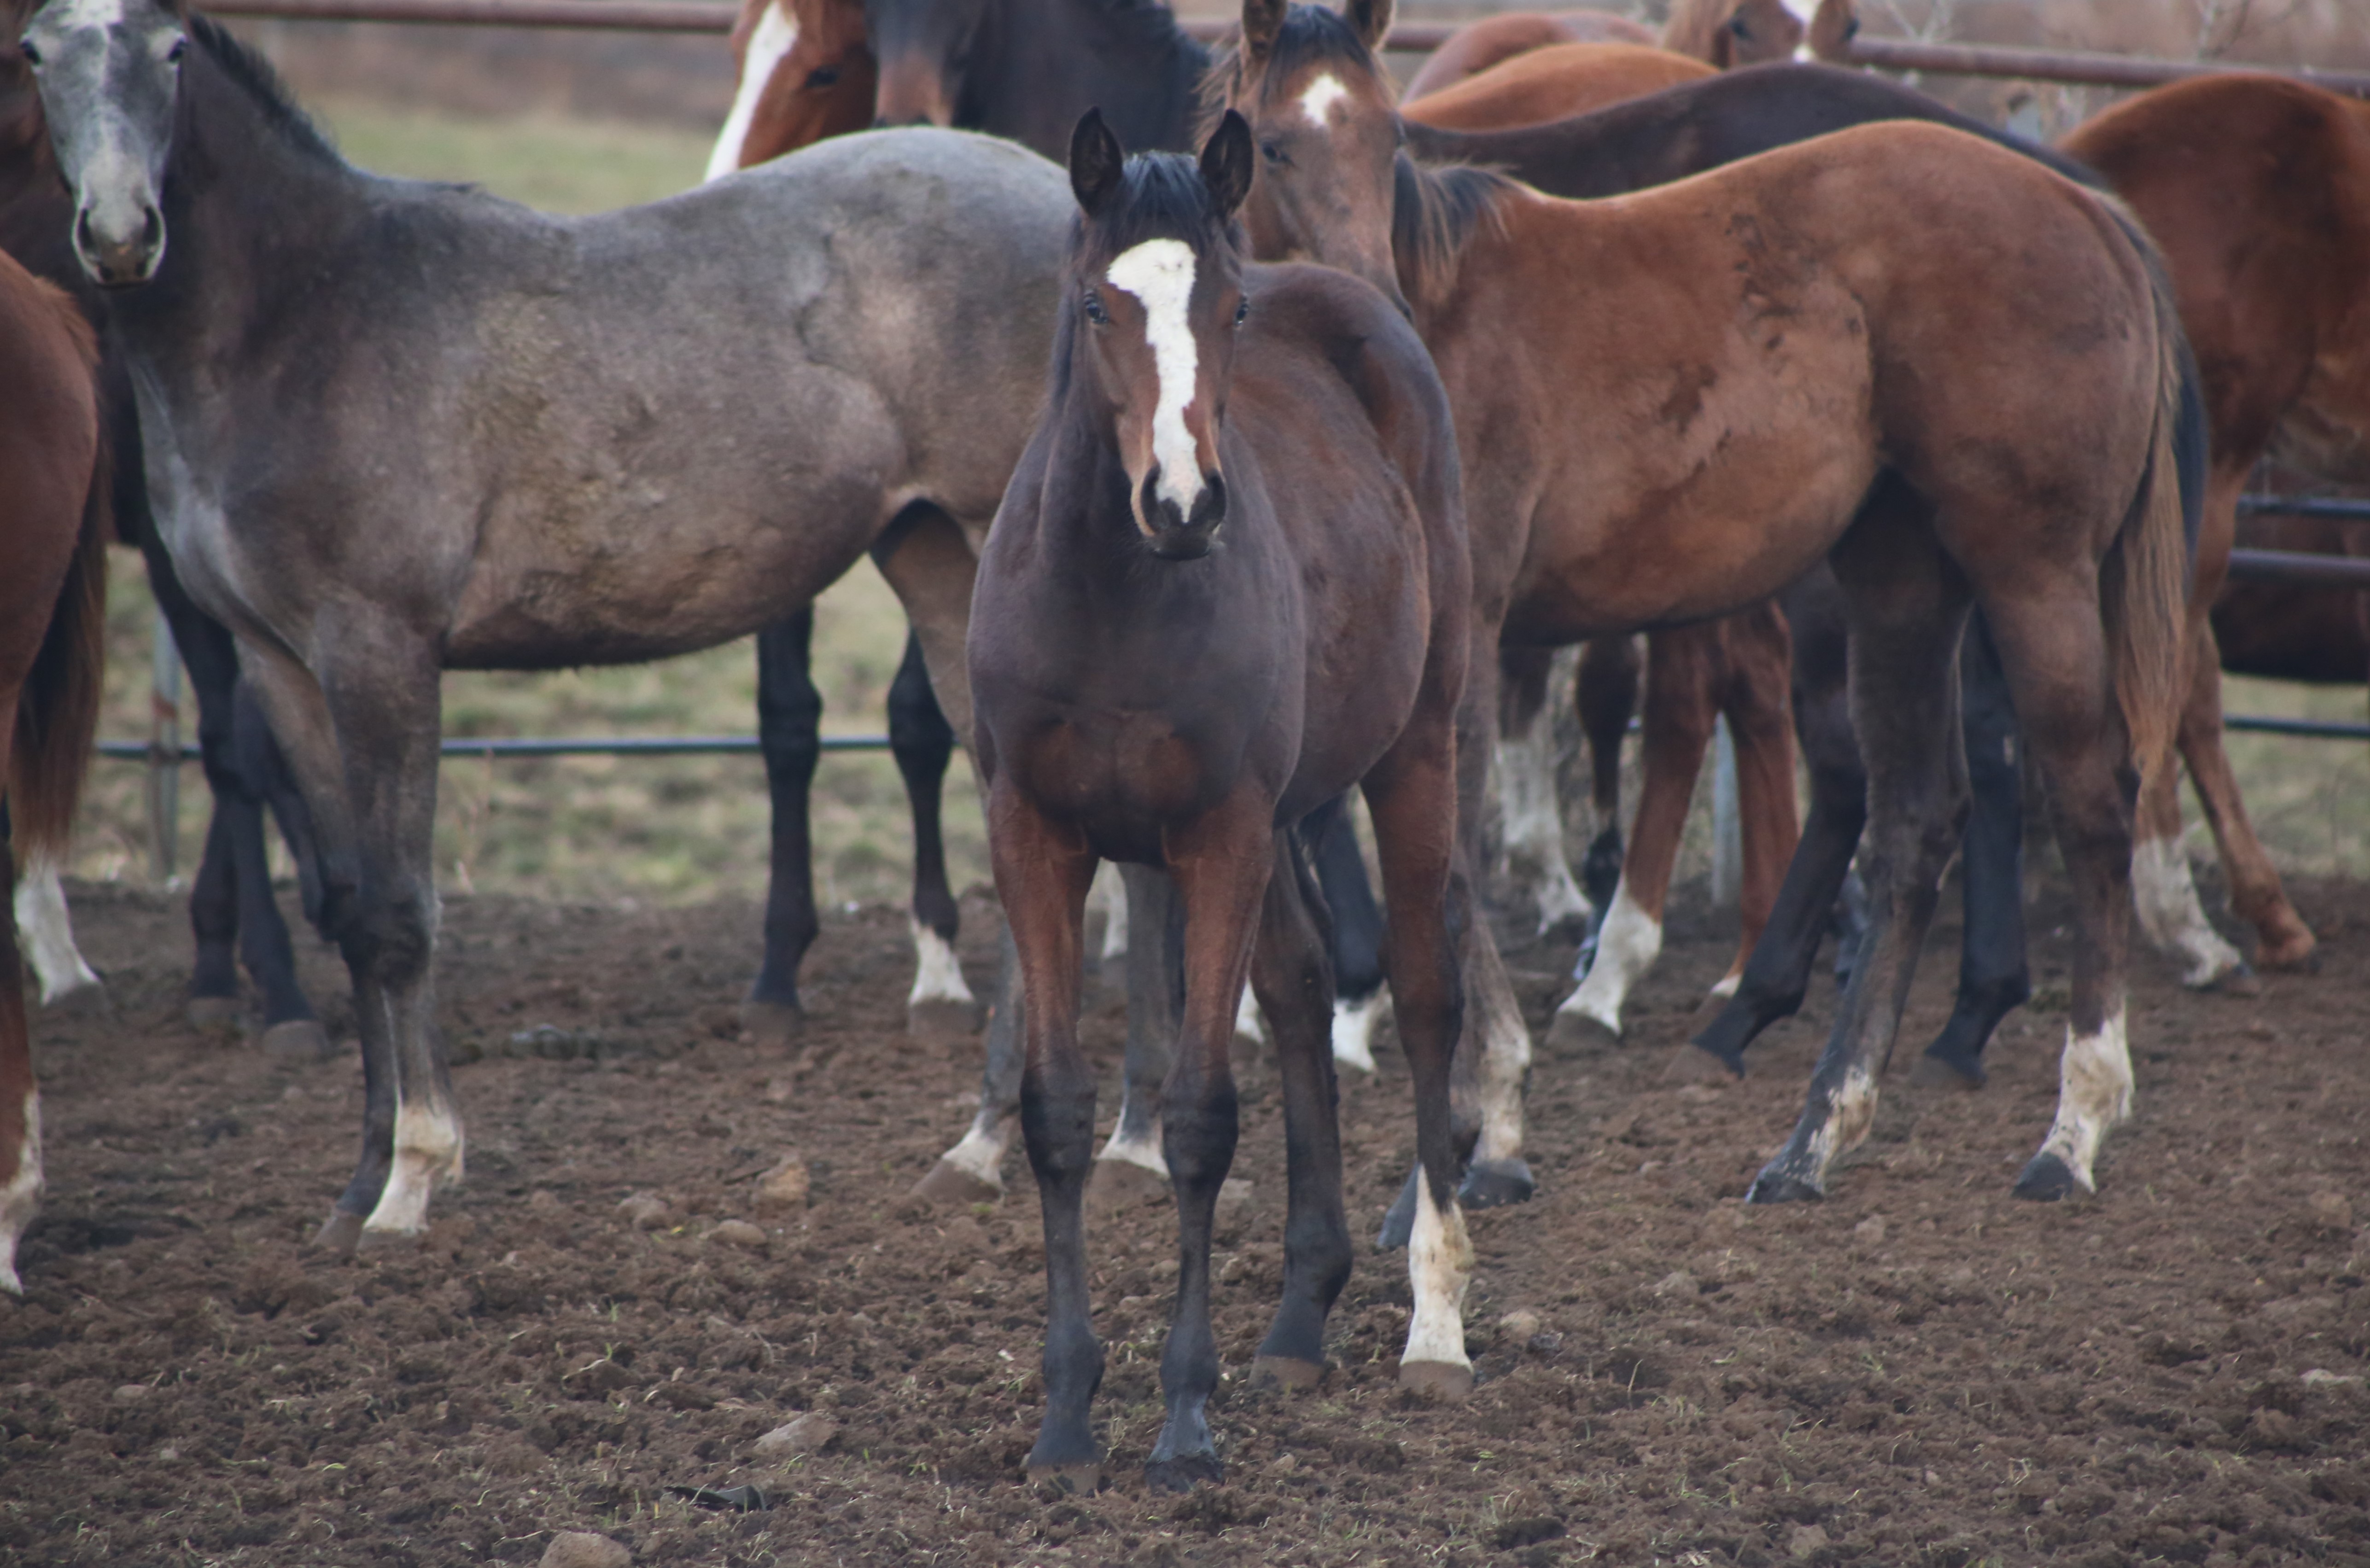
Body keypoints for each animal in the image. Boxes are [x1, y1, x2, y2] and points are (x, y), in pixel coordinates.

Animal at [16, 0, 1076, 1250]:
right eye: (36, 56)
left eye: (171, 51)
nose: (120, 233)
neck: (305, 317)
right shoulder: (280, 664)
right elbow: (346, 908)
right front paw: (355, 1186)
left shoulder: (380, 651)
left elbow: (399, 915)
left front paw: (415, 1178)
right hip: (934, 564)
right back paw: (980, 1146)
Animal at [971, 108, 1469, 1487]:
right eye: (1097, 303)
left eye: (1230, 308)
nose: (1185, 503)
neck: (1111, 599)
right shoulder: (1038, 834)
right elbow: (1057, 1112)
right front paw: (1065, 1420)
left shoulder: (1216, 833)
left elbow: (1198, 1117)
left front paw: (1184, 1419)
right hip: (1292, 809)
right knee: (1301, 987)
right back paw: (1301, 1315)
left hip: (1416, 750)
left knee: (1425, 994)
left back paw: (1438, 1322)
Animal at [1223, 0, 2199, 1212]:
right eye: (1273, 145)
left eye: (1387, 134)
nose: (1376, 299)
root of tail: (2088, 211)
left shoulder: (1465, 644)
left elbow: (1443, 875)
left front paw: (1479, 1135)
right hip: (1900, 581)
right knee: (1914, 816)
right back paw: (1814, 1134)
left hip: (2033, 574)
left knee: (2087, 801)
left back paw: (2071, 1129)